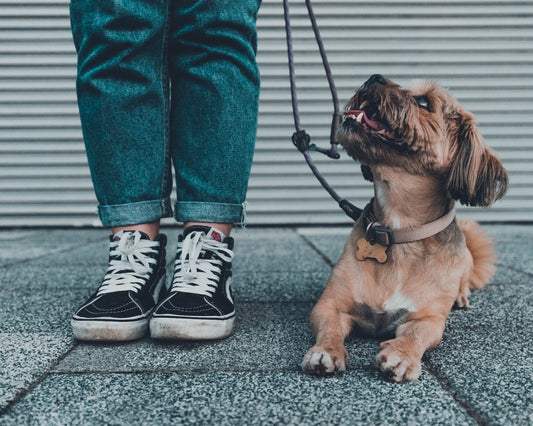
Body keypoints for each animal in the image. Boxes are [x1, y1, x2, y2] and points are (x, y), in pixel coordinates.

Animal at [300, 74, 508, 382]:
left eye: (422, 101)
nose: (373, 77)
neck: (397, 232)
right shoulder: (329, 305)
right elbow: (330, 328)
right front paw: (325, 351)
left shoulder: (427, 319)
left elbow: (416, 335)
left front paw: (402, 355)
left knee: (463, 281)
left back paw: (460, 296)